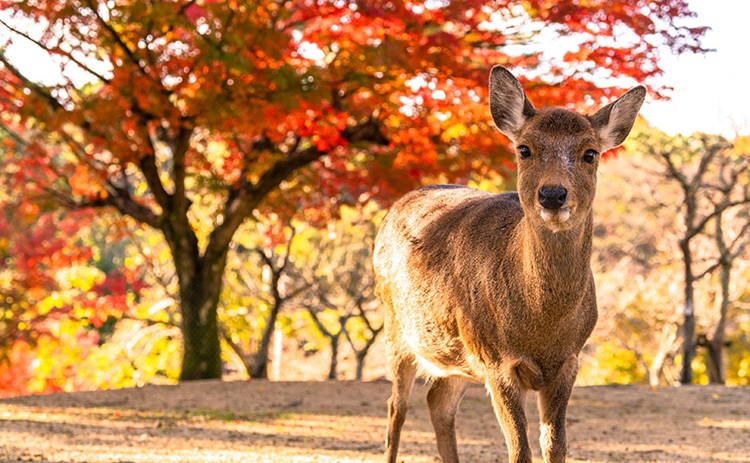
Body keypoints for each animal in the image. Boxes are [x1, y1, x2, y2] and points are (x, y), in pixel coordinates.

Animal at [374, 66, 648, 463]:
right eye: (524, 149)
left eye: (590, 153)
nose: (552, 194)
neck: (542, 328)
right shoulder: (496, 359)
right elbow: (520, 450)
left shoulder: (569, 361)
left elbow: (555, 447)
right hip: (396, 325)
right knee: (397, 406)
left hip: (455, 353)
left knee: (438, 401)